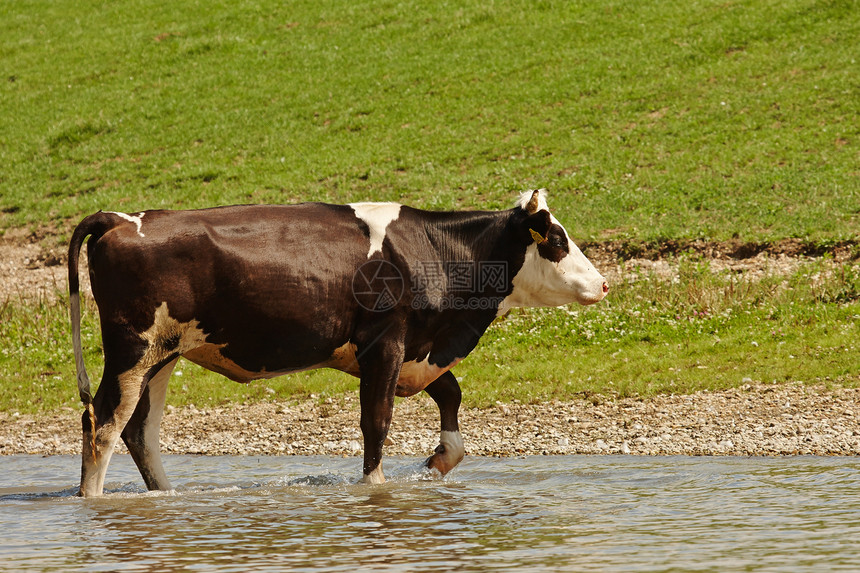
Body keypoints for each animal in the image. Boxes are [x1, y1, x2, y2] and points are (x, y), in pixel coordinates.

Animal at [69, 190, 604, 494]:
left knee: (139, 431)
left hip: (163, 355)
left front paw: (437, 460)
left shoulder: (416, 348)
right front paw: (374, 488)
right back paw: (92, 500)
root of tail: (121, 218)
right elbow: (376, 422)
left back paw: (165, 496)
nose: (602, 284)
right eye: (557, 240)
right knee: (102, 424)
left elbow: (451, 394)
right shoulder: (385, 343)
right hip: (132, 352)